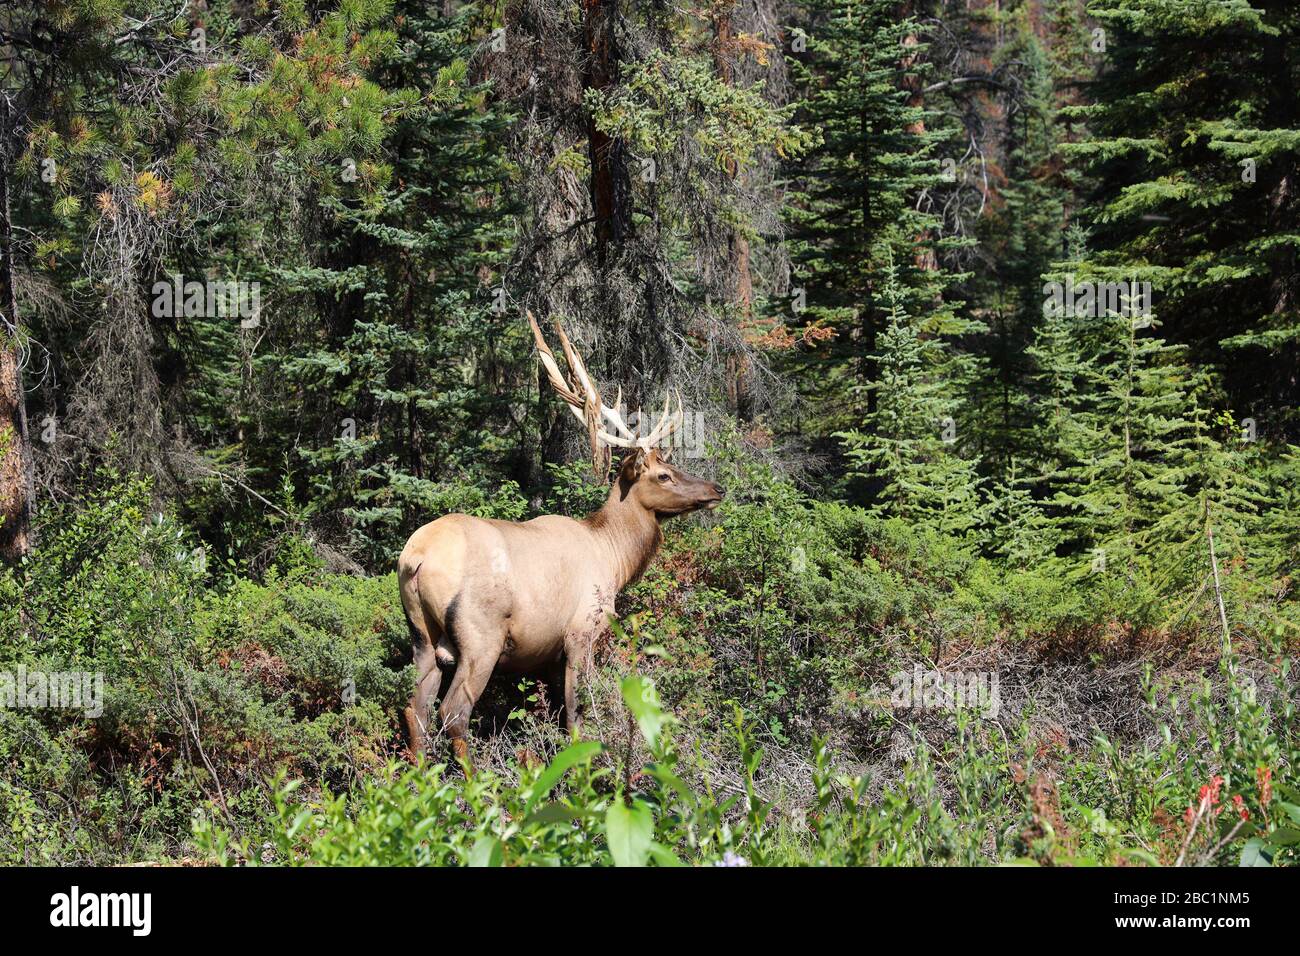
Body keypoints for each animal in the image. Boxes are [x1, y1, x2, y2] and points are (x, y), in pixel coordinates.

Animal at [397, 312, 722, 764]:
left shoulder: (546, 655)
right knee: (453, 713)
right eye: (663, 475)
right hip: (481, 636)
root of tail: (417, 558)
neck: (614, 558)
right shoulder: (581, 631)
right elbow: (577, 714)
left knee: (416, 709)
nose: (716, 489)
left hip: (422, 636)